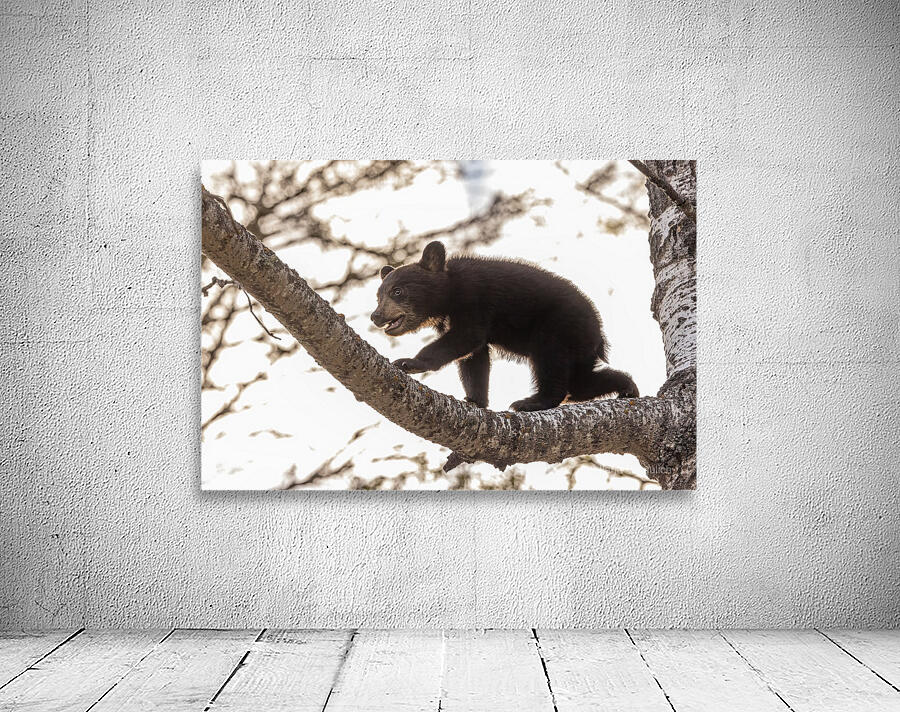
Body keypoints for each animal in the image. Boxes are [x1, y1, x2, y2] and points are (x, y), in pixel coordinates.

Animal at [370, 240, 639, 412]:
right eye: (378, 295)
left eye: (397, 291)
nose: (376, 316)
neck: (449, 294)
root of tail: (599, 333)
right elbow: (474, 358)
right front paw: (475, 399)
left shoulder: (473, 299)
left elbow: (466, 337)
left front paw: (409, 362)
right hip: (579, 348)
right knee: (581, 383)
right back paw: (627, 387)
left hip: (559, 327)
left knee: (551, 363)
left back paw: (532, 402)